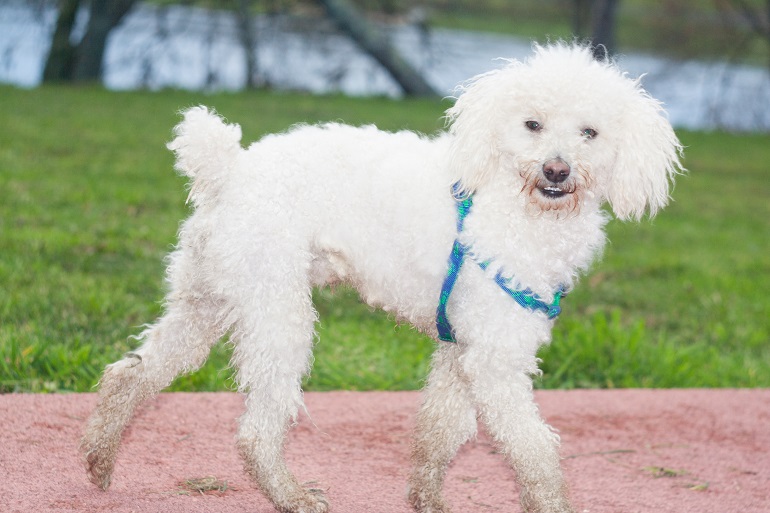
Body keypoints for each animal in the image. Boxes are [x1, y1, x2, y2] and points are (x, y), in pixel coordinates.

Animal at [82, 44, 680, 512]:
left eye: (590, 133)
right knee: (256, 429)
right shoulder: (496, 358)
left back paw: (100, 461)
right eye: (532, 124)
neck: (518, 203)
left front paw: (428, 500)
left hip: (207, 300)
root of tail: (229, 169)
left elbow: (441, 429)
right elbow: (534, 447)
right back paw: (290, 495)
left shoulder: (462, 351)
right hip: (278, 310)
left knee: (132, 374)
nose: (557, 170)